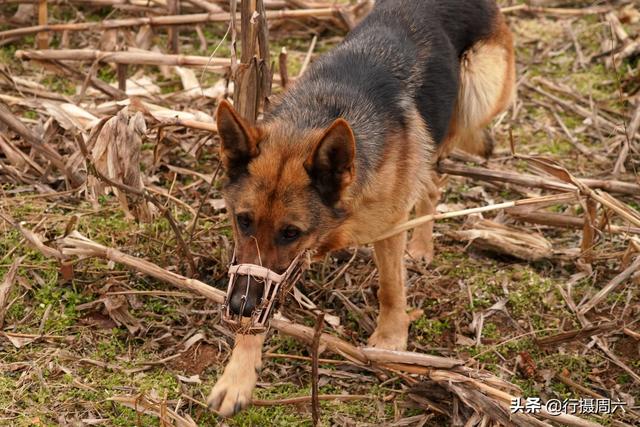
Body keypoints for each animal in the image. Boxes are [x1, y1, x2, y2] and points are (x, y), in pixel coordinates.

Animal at [210, 0, 516, 416]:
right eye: (242, 221)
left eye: (290, 232)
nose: (239, 306)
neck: (319, 115)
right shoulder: (280, 260)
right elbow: (264, 302)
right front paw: (238, 373)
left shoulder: (386, 227)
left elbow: (391, 286)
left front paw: (391, 339)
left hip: (475, 96)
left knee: (435, 179)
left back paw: (422, 244)